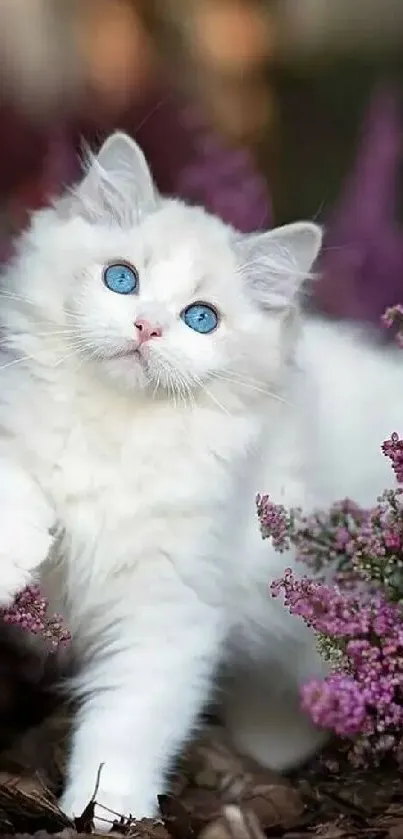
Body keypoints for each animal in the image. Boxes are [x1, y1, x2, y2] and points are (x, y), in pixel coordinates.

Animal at [0, 133, 398, 832]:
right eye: (122, 279)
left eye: (200, 319)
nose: (147, 327)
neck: (117, 428)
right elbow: (16, 477)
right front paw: (13, 552)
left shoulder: (169, 610)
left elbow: (128, 724)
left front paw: (108, 814)